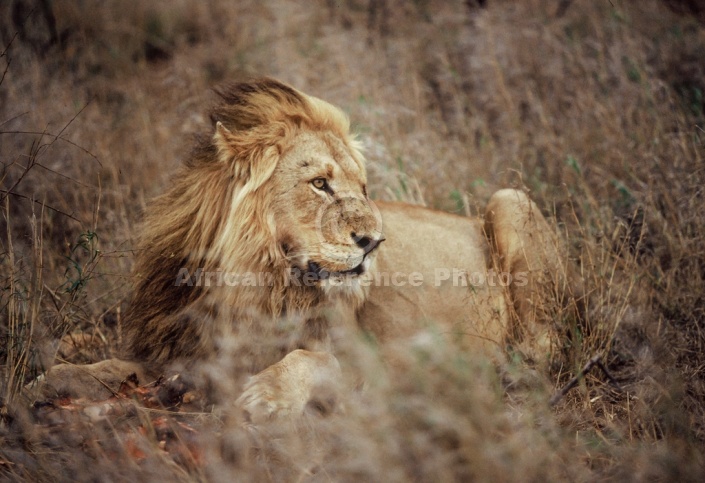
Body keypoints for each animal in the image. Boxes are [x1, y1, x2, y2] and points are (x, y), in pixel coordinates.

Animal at [37, 78, 576, 420]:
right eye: (320, 183)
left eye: (363, 188)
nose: (374, 242)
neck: (257, 281)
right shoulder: (179, 348)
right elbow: (110, 367)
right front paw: (54, 378)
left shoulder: (369, 365)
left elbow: (310, 359)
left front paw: (267, 396)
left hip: (510, 200)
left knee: (543, 351)